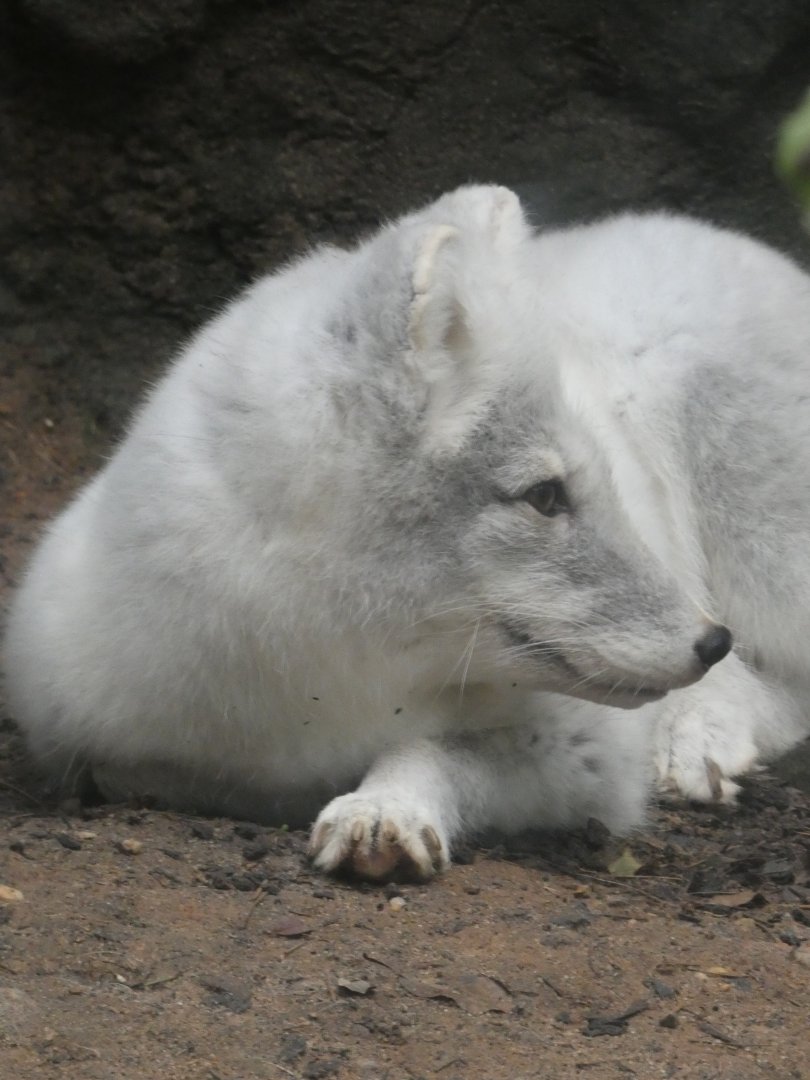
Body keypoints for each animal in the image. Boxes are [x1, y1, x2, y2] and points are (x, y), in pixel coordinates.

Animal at [3, 185, 808, 880]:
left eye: (599, 478)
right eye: (545, 496)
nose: (709, 641)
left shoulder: (590, 756)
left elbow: (432, 750)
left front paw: (383, 806)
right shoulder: (74, 718)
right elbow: (124, 772)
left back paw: (696, 742)